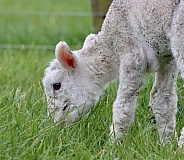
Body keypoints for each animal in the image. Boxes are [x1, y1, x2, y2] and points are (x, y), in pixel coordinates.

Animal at [42, 0, 184, 147]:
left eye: (56, 85)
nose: (56, 125)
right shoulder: (167, 60)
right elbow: (163, 100)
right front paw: (167, 144)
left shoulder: (132, 54)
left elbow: (122, 106)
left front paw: (114, 144)